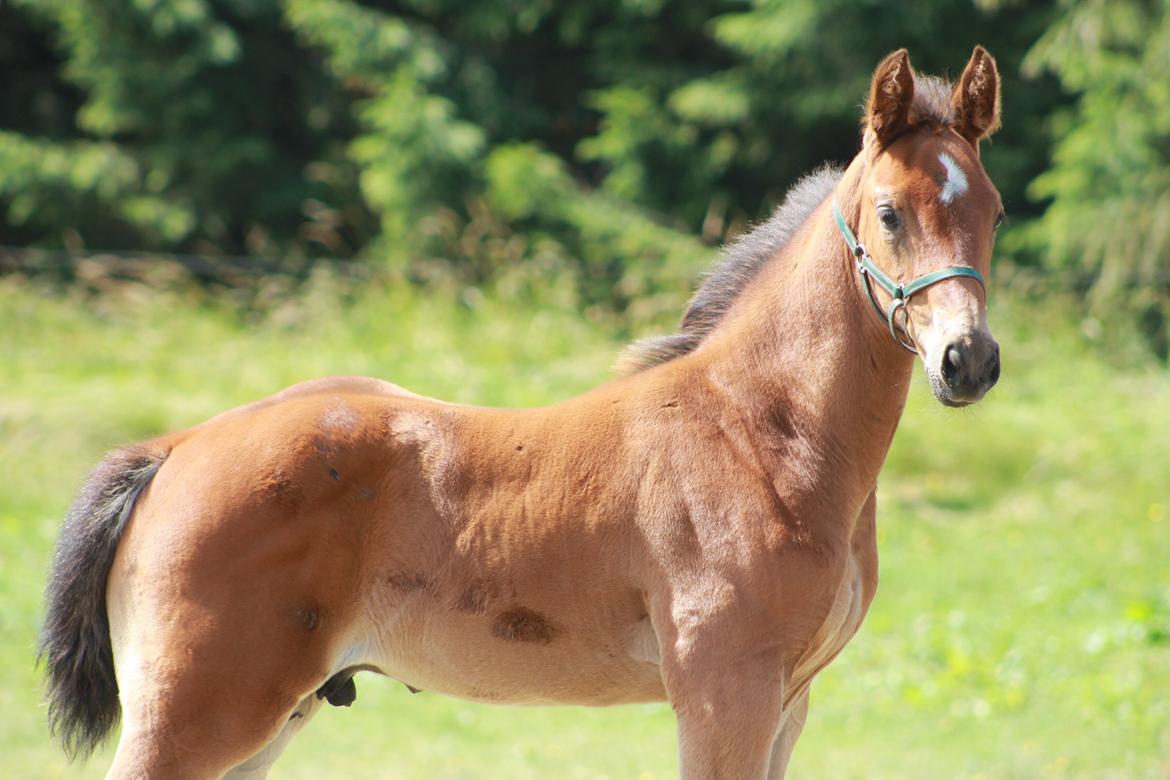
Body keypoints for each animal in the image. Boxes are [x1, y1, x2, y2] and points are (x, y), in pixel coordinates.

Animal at [41, 45, 1001, 776]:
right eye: (890, 214)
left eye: (992, 211)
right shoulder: (723, 688)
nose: (969, 361)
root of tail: (175, 448)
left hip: (271, 717)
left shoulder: (790, 699)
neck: (759, 433)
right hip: (198, 713)